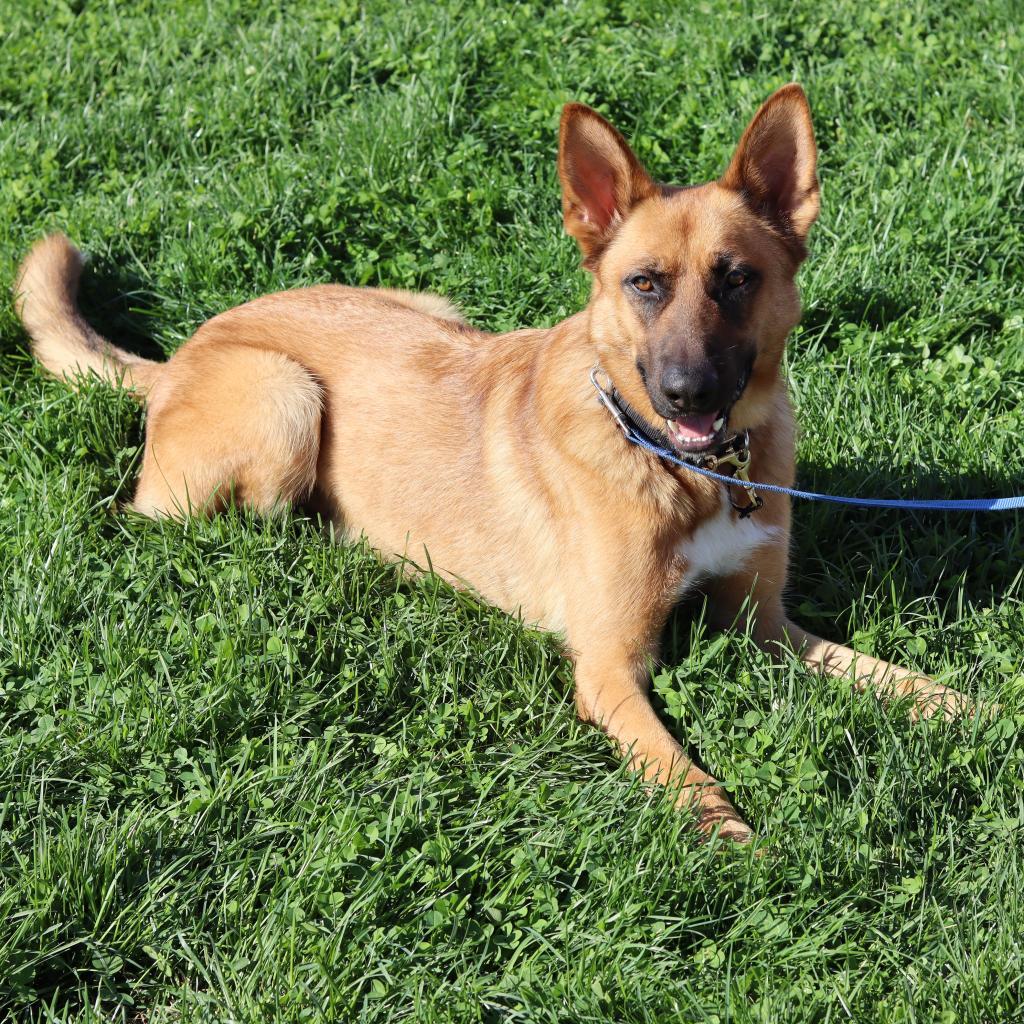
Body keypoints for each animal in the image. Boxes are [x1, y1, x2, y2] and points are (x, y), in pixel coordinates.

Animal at [14, 86, 966, 839]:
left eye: (737, 279)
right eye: (646, 284)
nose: (686, 394)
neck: (686, 474)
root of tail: (177, 357)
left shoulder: (764, 628)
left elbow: (890, 676)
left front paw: (969, 707)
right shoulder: (610, 671)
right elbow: (680, 770)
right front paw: (732, 834)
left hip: (434, 312)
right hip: (284, 402)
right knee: (165, 520)